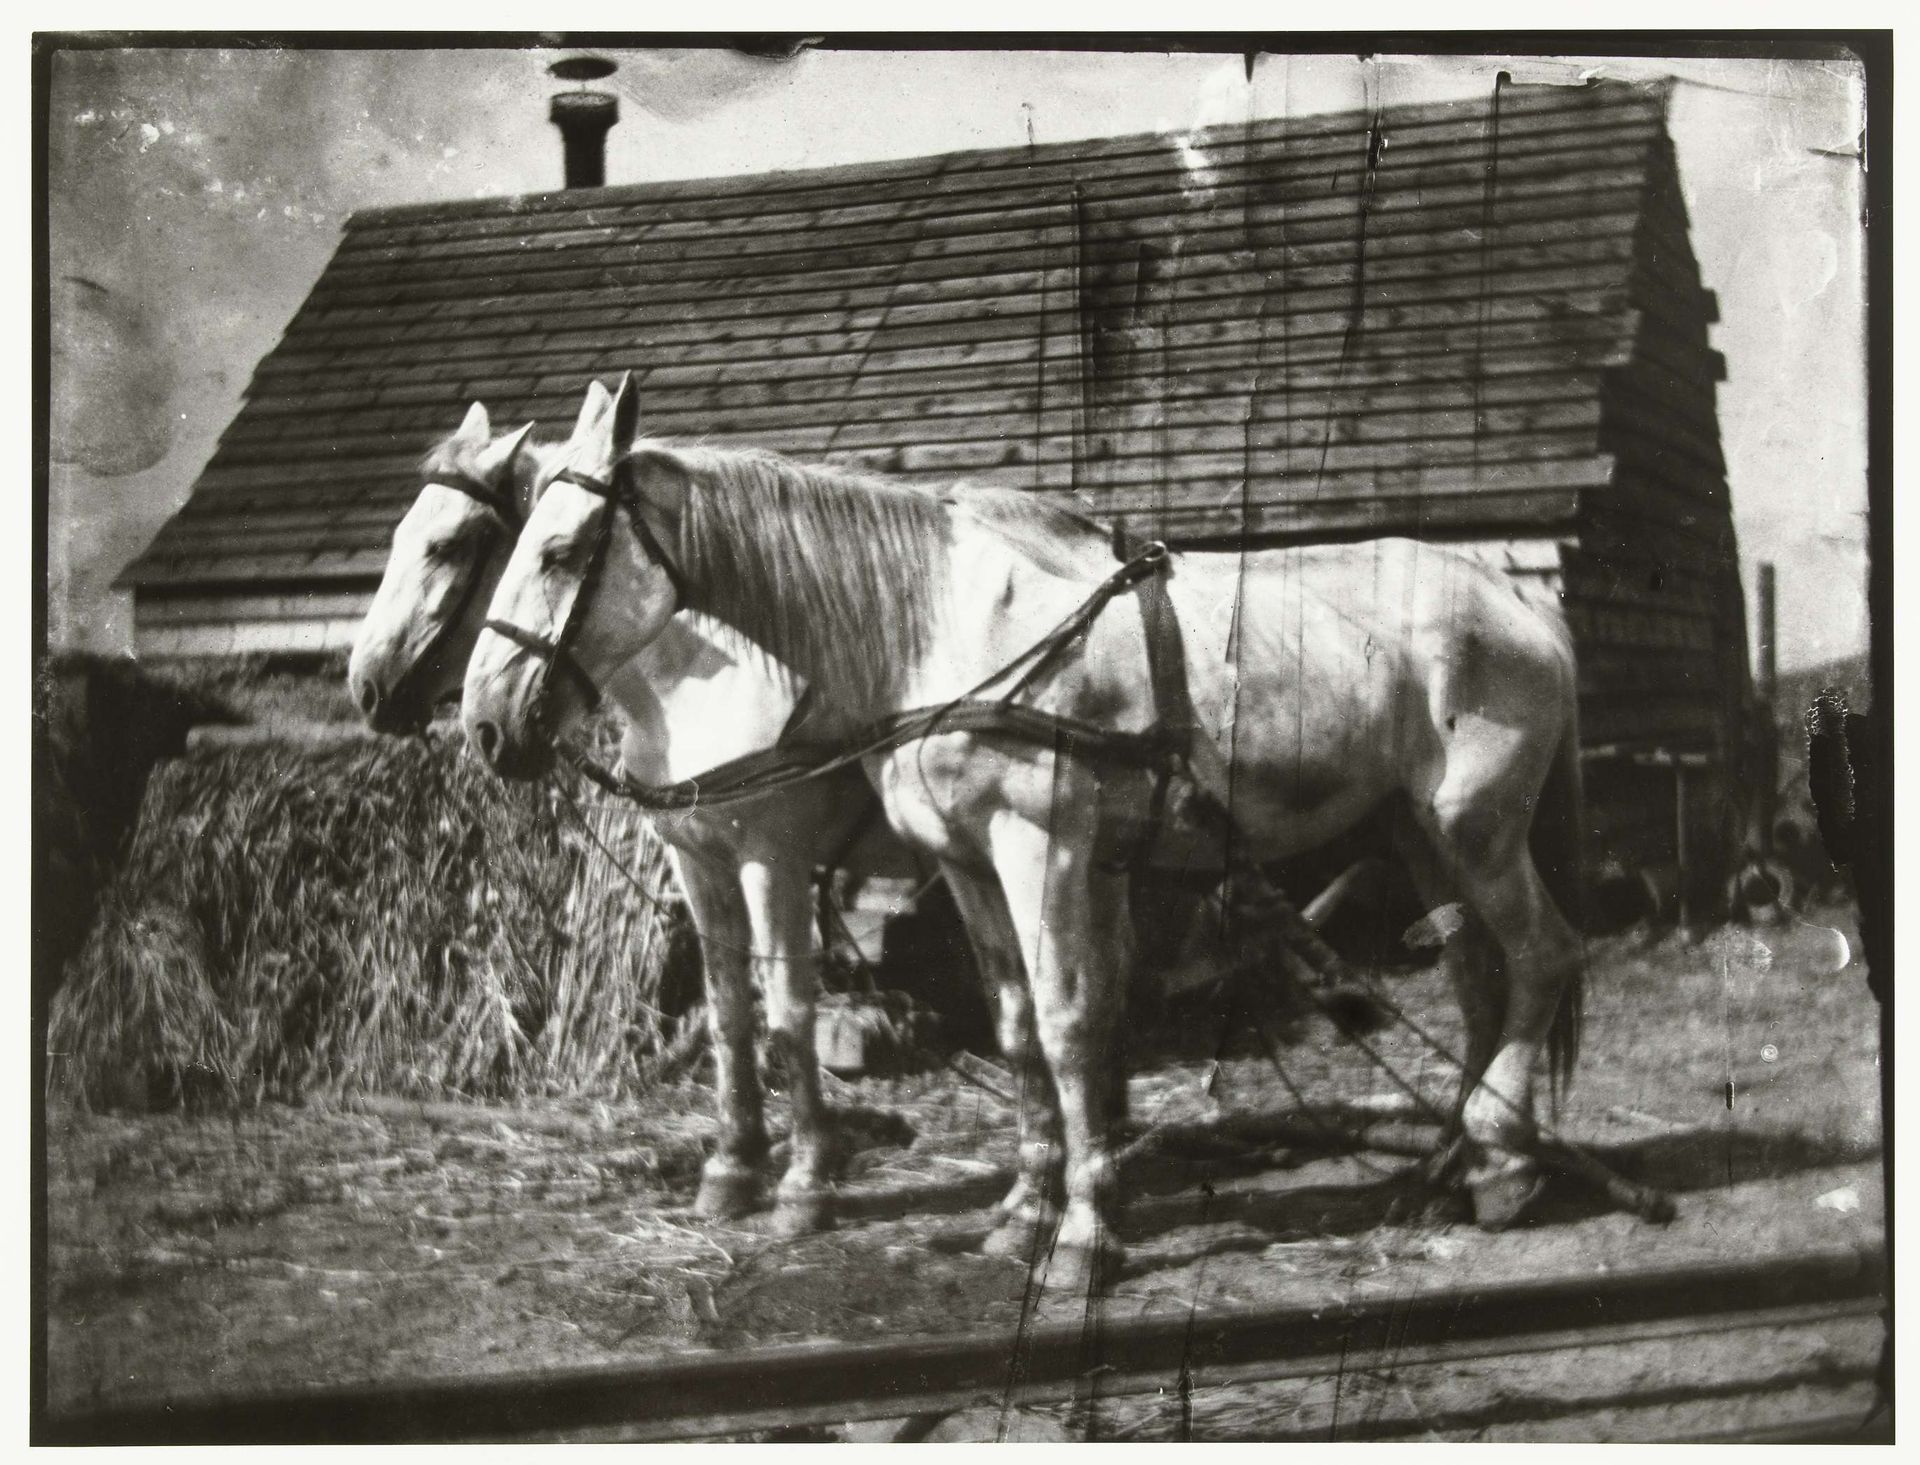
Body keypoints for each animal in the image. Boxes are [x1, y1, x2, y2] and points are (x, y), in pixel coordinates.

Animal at [345, 395, 937, 1236]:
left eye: (448, 544)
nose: (365, 685)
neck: (712, 691)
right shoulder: (698, 861)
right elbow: (730, 1012)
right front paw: (732, 1169)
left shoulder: (774, 860)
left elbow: (789, 1010)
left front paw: (805, 1182)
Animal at [464, 373, 1587, 1288]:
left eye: (561, 551)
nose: (484, 723)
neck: (940, 628)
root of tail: (1518, 600)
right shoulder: (963, 861)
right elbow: (1009, 1026)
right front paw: (1022, 1210)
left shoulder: (1029, 846)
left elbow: (1065, 1020)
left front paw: (1085, 1232)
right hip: (1418, 834)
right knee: (1477, 977)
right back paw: (1462, 1162)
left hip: (1478, 829)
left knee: (1541, 957)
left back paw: (1503, 1163)